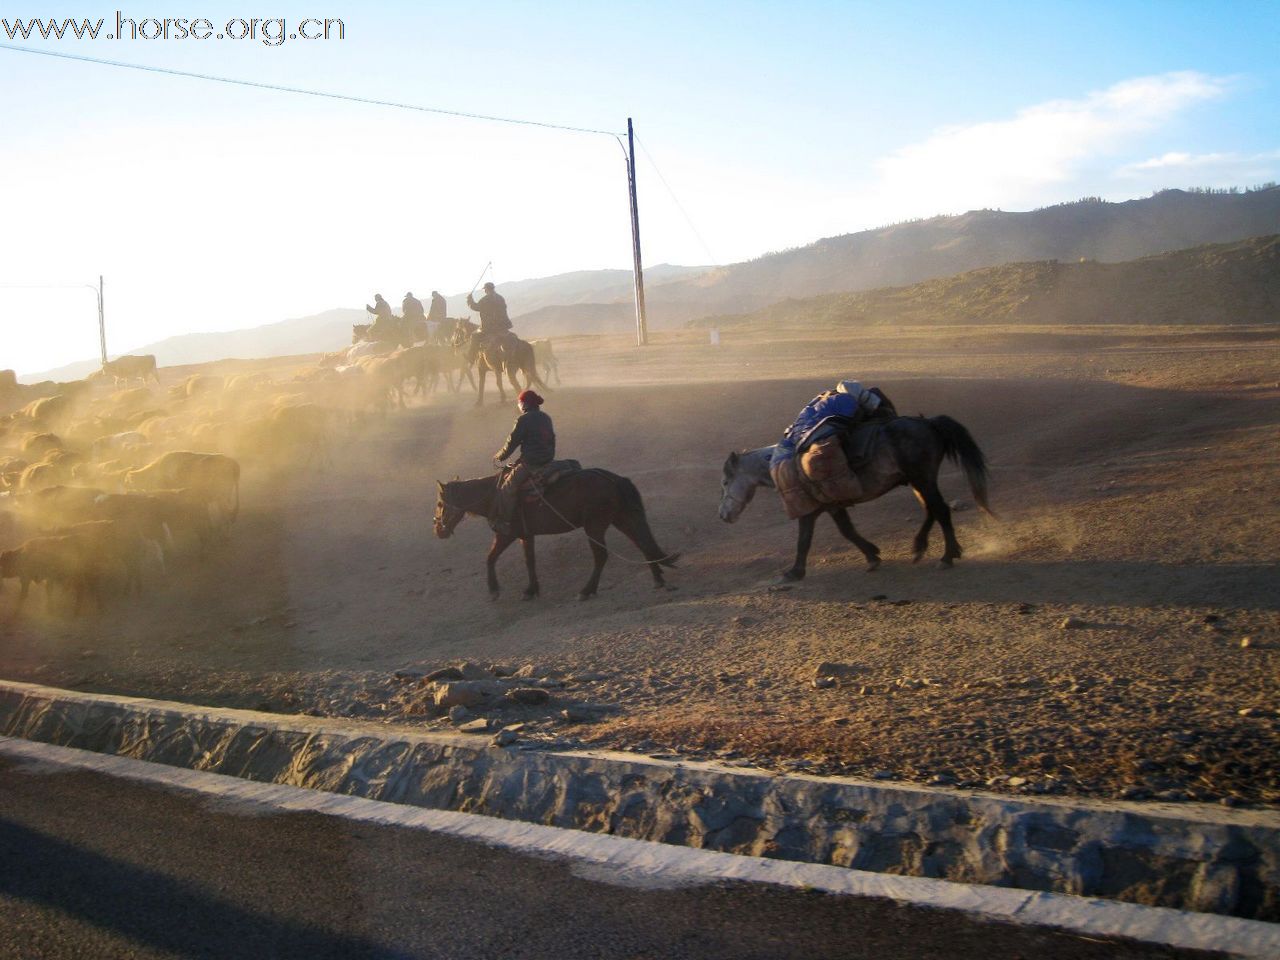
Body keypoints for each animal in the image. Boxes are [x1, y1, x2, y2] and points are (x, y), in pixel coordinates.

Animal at [435, 468, 680, 599]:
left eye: (439, 503)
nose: (438, 530)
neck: (493, 495)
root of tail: (612, 478)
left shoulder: (507, 534)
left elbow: (490, 558)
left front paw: (494, 590)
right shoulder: (526, 536)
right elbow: (529, 561)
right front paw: (531, 590)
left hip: (595, 525)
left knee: (601, 556)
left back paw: (586, 591)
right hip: (621, 518)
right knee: (642, 542)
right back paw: (657, 578)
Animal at [721, 414, 988, 578]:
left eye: (725, 482)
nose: (723, 515)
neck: (782, 464)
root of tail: (929, 423)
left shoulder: (808, 508)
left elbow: (804, 540)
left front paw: (794, 572)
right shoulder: (832, 505)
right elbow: (847, 531)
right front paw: (872, 555)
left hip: (923, 479)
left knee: (940, 510)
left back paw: (947, 556)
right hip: (918, 481)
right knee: (931, 510)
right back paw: (919, 547)